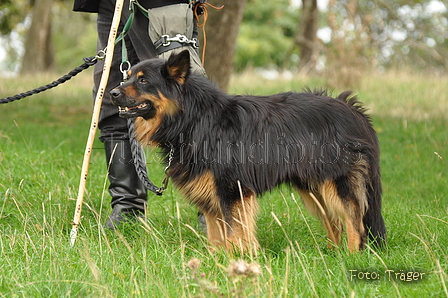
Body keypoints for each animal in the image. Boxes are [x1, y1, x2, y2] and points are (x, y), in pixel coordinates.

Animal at [110, 50, 386, 253]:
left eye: (143, 80)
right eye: (129, 76)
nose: (112, 93)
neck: (194, 118)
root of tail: (351, 109)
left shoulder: (232, 190)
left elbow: (234, 232)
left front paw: (237, 260)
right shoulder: (211, 197)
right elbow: (216, 236)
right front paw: (217, 261)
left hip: (336, 183)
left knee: (354, 221)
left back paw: (351, 256)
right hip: (313, 187)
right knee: (335, 222)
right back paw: (331, 254)